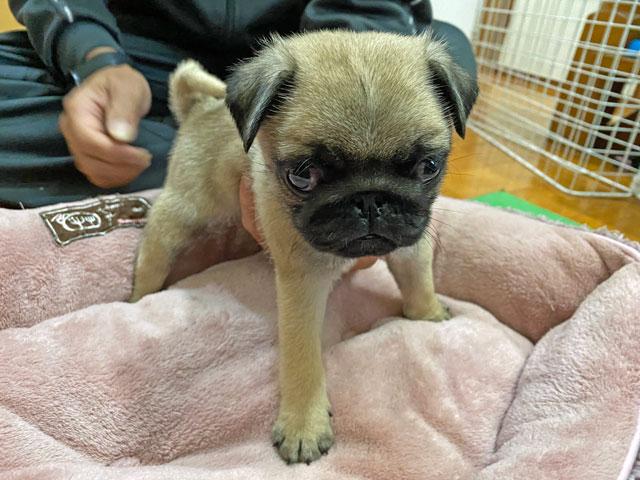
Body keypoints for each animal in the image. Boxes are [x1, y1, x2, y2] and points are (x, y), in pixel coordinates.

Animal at [130, 30, 478, 464]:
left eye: (428, 167)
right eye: (303, 176)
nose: (370, 200)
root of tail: (200, 107)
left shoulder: (410, 245)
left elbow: (419, 282)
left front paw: (428, 315)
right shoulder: (302, 285)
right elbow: (303, 358)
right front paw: (304, 424)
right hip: (185, 210)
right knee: (156, 244)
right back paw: (140, 295)